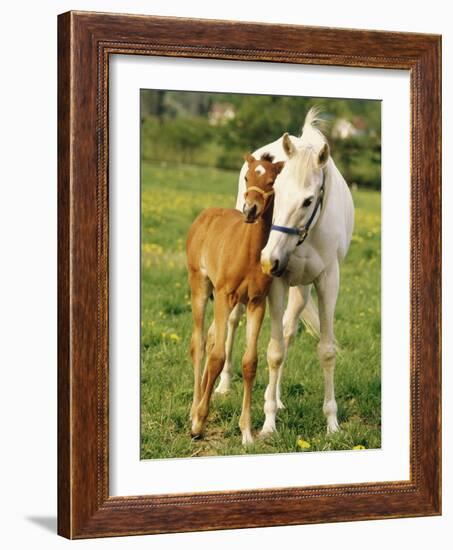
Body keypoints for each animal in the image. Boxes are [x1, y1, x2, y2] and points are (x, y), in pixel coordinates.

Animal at [185, 153, 282, 446]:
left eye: (271, 181)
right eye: (247, 177)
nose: (250, 210)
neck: (248, 252)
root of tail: (204, 215)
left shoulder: (256, 302)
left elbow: (250, 362)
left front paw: (247, 432)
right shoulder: (225, 296)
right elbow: (218, 356)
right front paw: (199, 423)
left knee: (211, 337)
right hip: (201, 286)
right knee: (200, 343)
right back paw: (194, 409)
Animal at [214, 106, 354, 436]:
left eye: (308, 200)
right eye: (276, 191)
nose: (269, 259)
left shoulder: (328, 281)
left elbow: (325, 350)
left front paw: (332, 423)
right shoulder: (275, 283)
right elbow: (274, 352)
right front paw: (267, 426)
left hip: (301, 289)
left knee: (289, 331)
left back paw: (277, 399)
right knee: (236, 321)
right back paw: (225, 385)